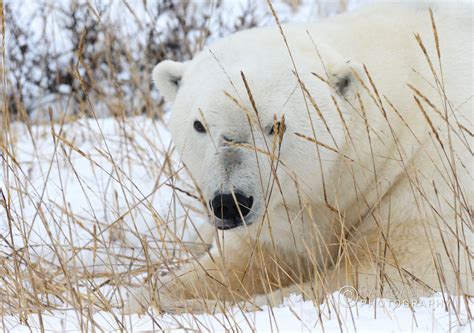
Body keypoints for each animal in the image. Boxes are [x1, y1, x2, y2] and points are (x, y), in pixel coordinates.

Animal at [128, 2, 472, 312]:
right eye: (199, 125)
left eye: (277, 125)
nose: (230, 203)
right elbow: (241, 263)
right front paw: (144, 298)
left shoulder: (430, 183)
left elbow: (396, 274)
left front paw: (193, 306)